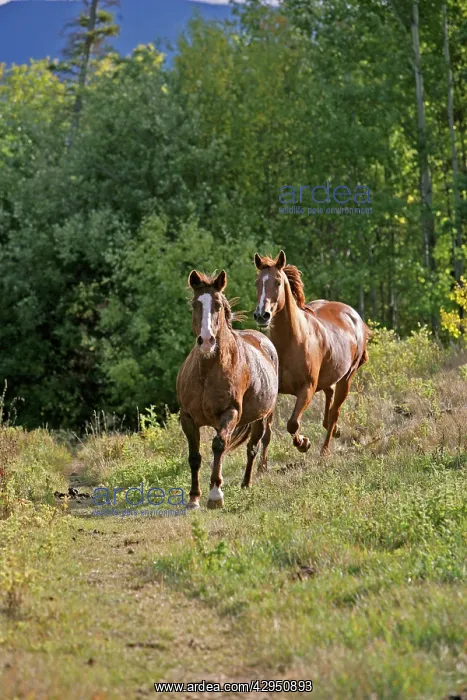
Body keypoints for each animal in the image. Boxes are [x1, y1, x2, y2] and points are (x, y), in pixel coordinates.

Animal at [177, 269, 279, 509]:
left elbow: (219, 445)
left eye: (218, 305)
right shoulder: (187, 418)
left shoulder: (230, 413)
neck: (206, 372)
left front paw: (215, 495)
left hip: (261, 417)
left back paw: (246, 483)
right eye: (195, 304)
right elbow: (194, 456)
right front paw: (194, 498)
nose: (206, 341)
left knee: (253, 447)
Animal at [253, 250, 370, 456]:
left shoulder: (307, 389)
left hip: (346, 379)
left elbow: (292, 423)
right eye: (257, 282)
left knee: (334, 412)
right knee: (329, 394)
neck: (291, 342)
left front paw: (303, 443)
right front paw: (262, 464)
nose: (261, 315)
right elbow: (267, 433)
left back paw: (325, 450)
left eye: (277, 282)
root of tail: (355, 317)